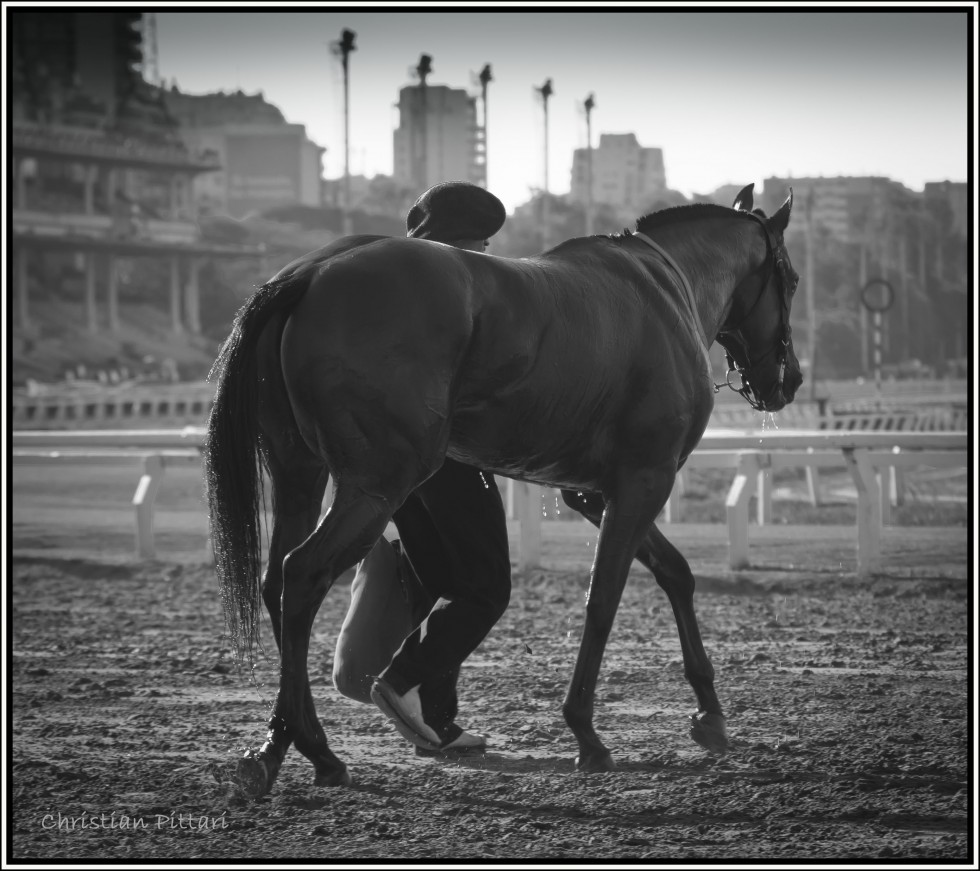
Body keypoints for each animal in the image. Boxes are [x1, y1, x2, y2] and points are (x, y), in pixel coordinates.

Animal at [205, 182, 804, 796]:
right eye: (792, 279)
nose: (791, 380)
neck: (662, 289)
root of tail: (312, 272)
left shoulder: (593, 492)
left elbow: (675, 573)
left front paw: (709, 711)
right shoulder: (644, 479)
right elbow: (604, 598)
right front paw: (586, 732)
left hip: (300, 476)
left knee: (277, 582)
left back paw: (295, 745)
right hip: (376, 486)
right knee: (304, 575)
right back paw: (306, 746)